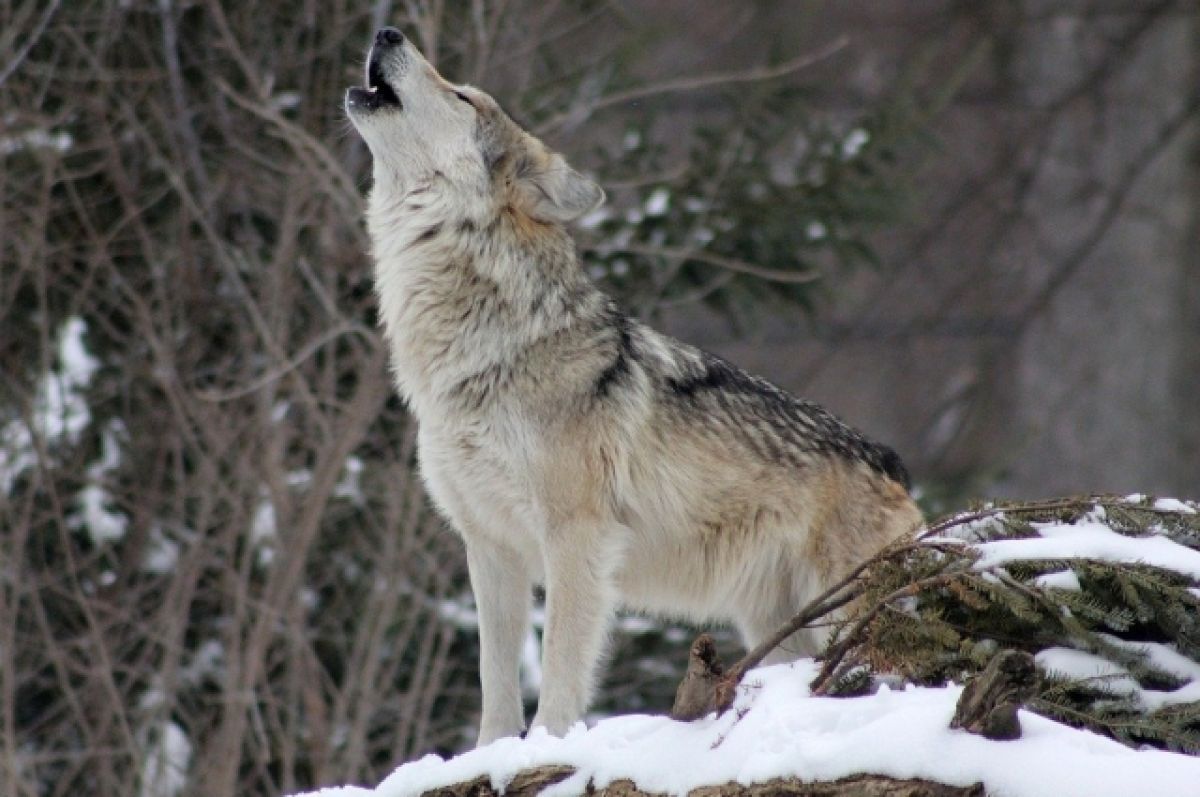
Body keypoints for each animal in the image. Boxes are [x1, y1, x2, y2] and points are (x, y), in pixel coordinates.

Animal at [343, 24, 921, 748]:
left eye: (463, 95)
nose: (387, 30)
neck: (481, 352)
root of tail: (893, 462)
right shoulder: (490, 546)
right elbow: (494, 681)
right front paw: (491, 754)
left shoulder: (577, 537)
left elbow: (560, 666)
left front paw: (549, 745)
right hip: (779, 628)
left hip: (844, 613)